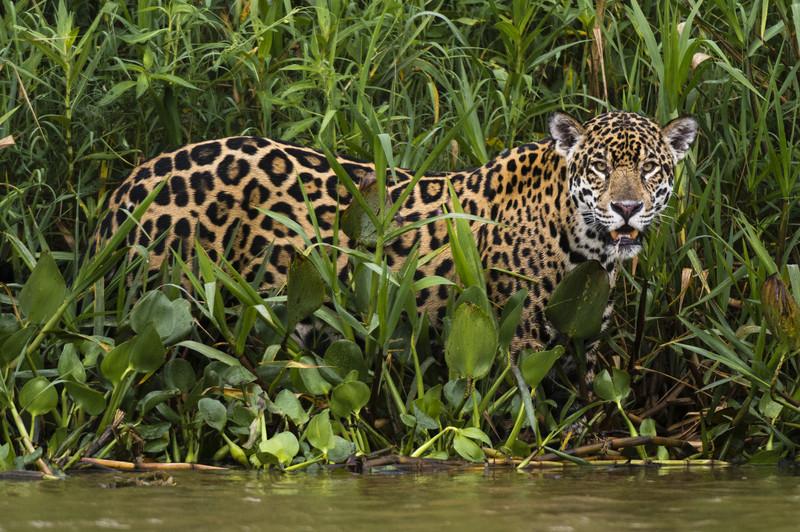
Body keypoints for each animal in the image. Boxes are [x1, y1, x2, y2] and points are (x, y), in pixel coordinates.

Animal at [98, 110, 697, 396]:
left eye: (650, 168)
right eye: (598, 167)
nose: (625, 208)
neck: (588, 250)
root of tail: (130, 183)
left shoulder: (583, 340)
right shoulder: (519, 340)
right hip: (180, 309)